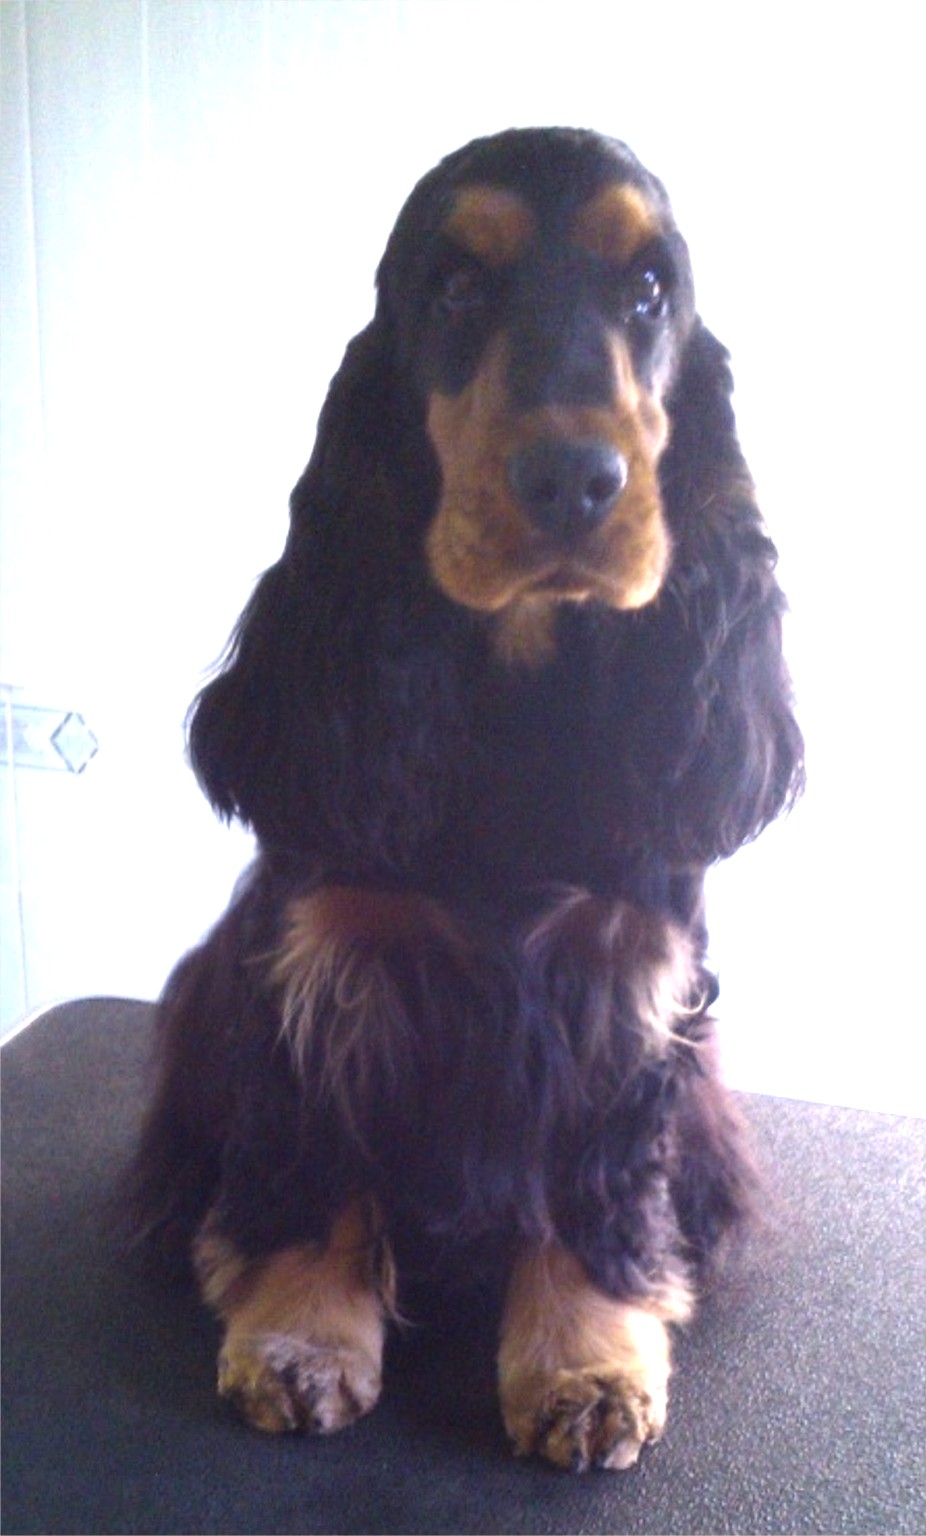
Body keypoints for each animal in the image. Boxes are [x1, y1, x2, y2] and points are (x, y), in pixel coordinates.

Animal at [128, 128, 804, 1472]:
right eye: (453, 290)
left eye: (645, 292)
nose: (572, 480)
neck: (515, 687)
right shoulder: (320, 960)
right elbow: (311, 1165)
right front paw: (297, 1337)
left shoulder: (626, 979)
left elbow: (598, 1187)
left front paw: (586, 1364)